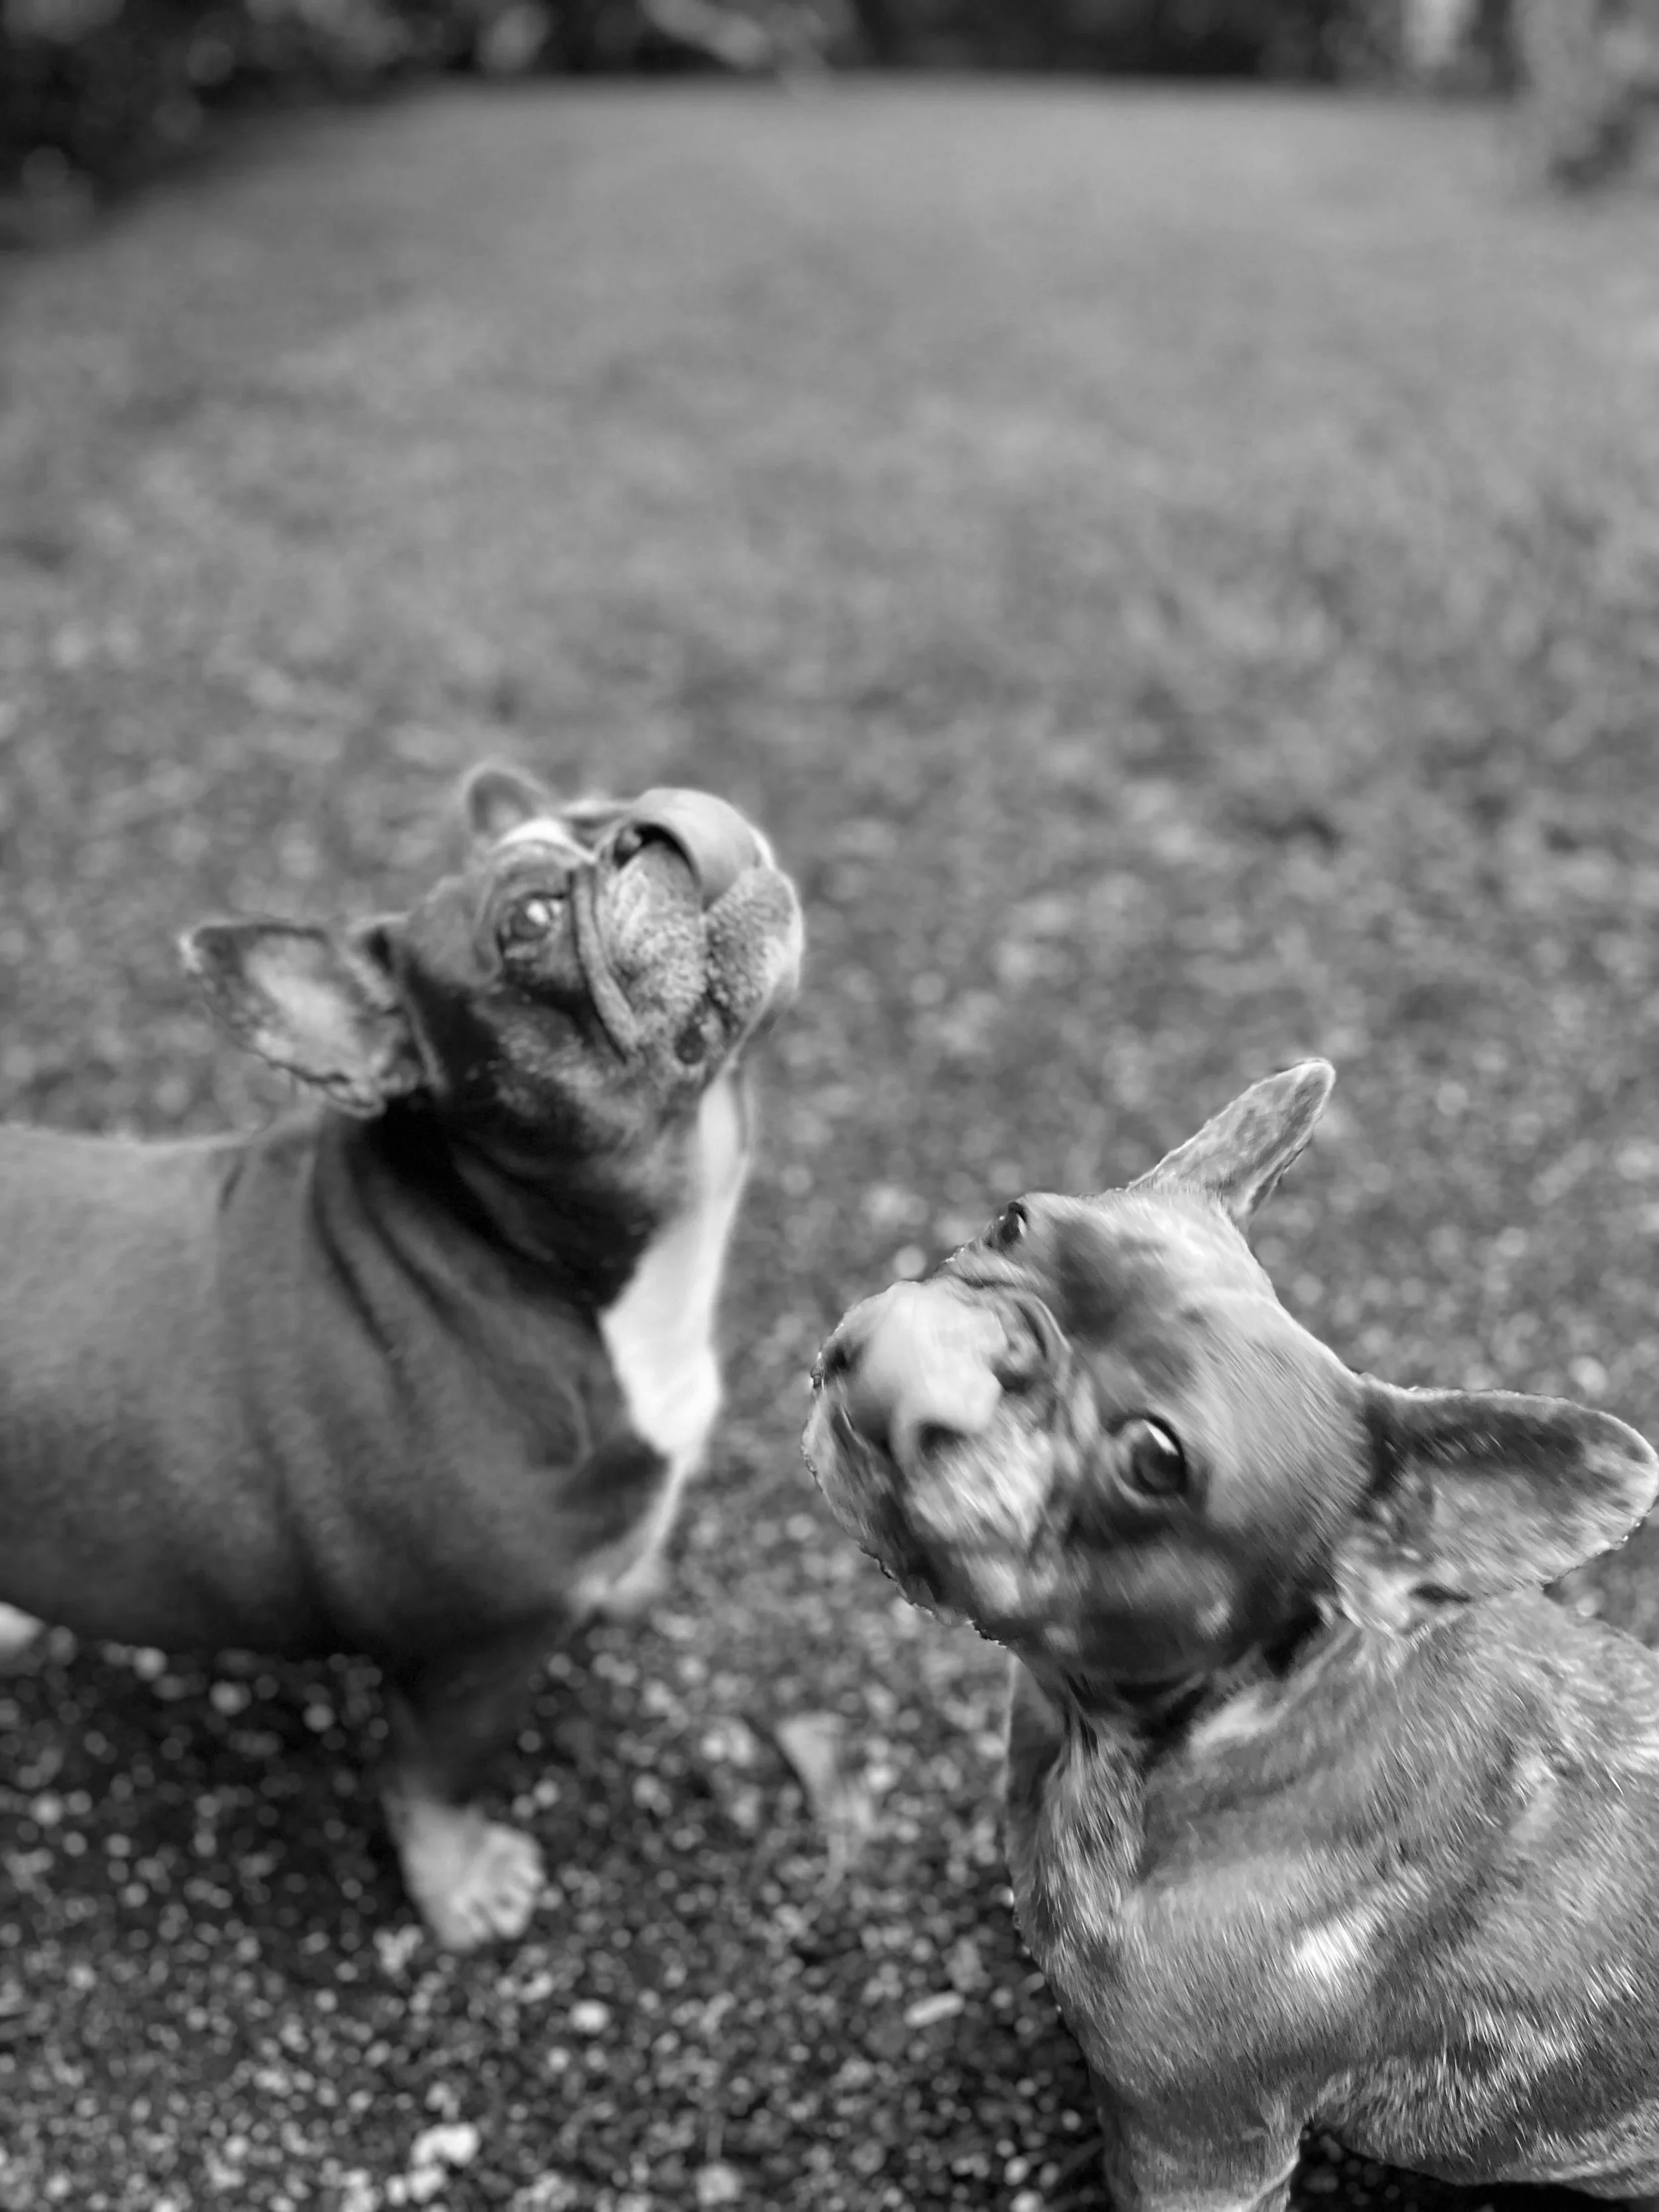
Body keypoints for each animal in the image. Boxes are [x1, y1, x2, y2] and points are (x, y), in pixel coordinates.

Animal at [0, 763, 802, 1950]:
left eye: (609, 805)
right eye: (527, 923)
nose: (649, 823)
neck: (534, 1260)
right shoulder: (473, 1658)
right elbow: (434, 1780)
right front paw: (461, 1886)